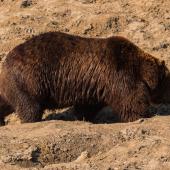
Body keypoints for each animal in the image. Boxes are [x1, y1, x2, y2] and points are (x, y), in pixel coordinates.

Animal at [0, 32, 168, 125]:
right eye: (169, 82)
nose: (168, 99)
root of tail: (5, 62)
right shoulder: (119, 75)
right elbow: (131, 102)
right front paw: (143, 115)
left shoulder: (94, 86)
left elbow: (87, 107)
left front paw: (84, 117)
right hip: (30, 81)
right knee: (30, 107)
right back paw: (32, 120)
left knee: (5, 102)